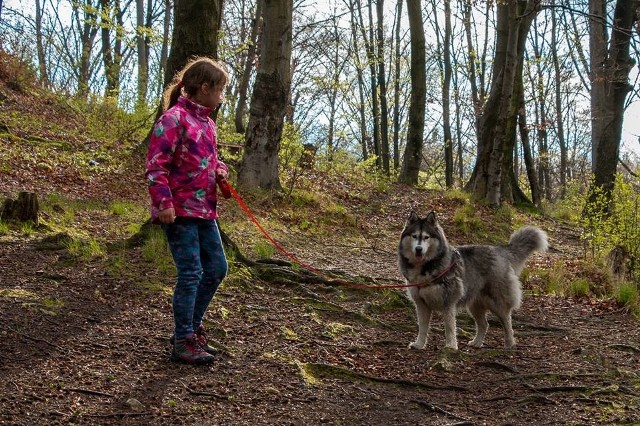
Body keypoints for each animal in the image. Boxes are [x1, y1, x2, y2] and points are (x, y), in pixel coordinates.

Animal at [398, 211, 548, 352]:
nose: (418, 249)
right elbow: (422, 328)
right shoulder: (421, 304)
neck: (425, 267)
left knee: (507, 324)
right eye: (414, 236)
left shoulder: (448, 303)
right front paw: (419, 344)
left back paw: (509, 344)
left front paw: (451, 346)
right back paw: (477, 343)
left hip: (498, 303)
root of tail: (500, 249)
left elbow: (449, 327)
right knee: (484, 324)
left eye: (426, 237)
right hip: (475, 305)